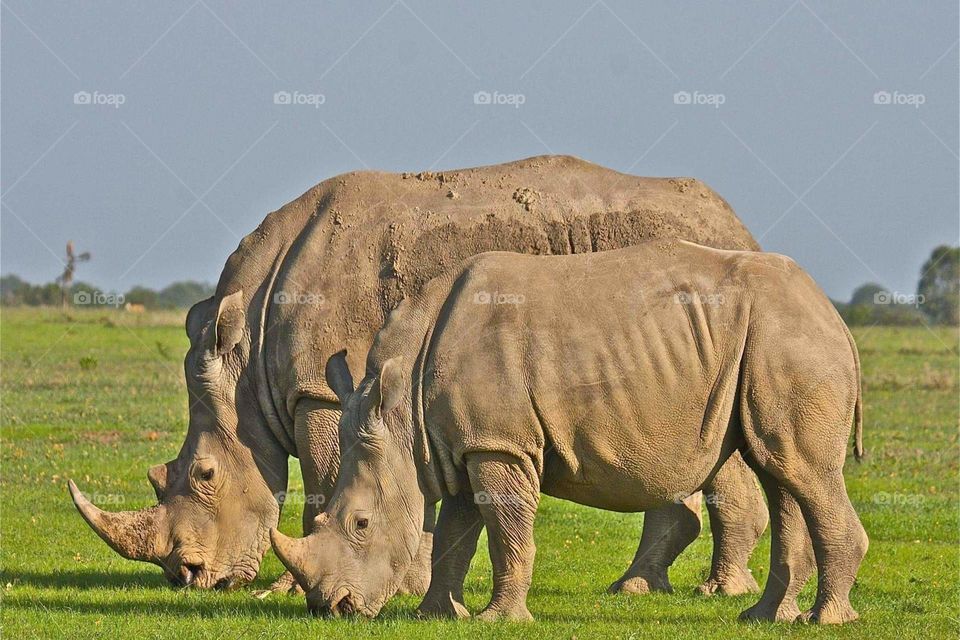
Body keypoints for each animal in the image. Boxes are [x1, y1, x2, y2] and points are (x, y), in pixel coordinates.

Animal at [69, 155, 768, 596]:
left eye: (205, 476)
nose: (186, 578)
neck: (248, 349)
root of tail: (738, 225)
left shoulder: (322, 390)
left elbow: (325, 484)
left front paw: (293, 588)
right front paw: (414, 578)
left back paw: (718, 591)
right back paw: (635, 589)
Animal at [271, 240, 867, 624]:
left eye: (362, 524)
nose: (334, 609)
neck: (400, 411)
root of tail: (834, 316)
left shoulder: (500, 445)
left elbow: (506, 531)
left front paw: (498, 620)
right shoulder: (465, 444)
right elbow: (457, 532)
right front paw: (436, 614)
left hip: (787, 341)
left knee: (801, 472)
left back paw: (825, 620)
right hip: (774, 340)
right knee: (779, 471)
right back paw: (763, 618)